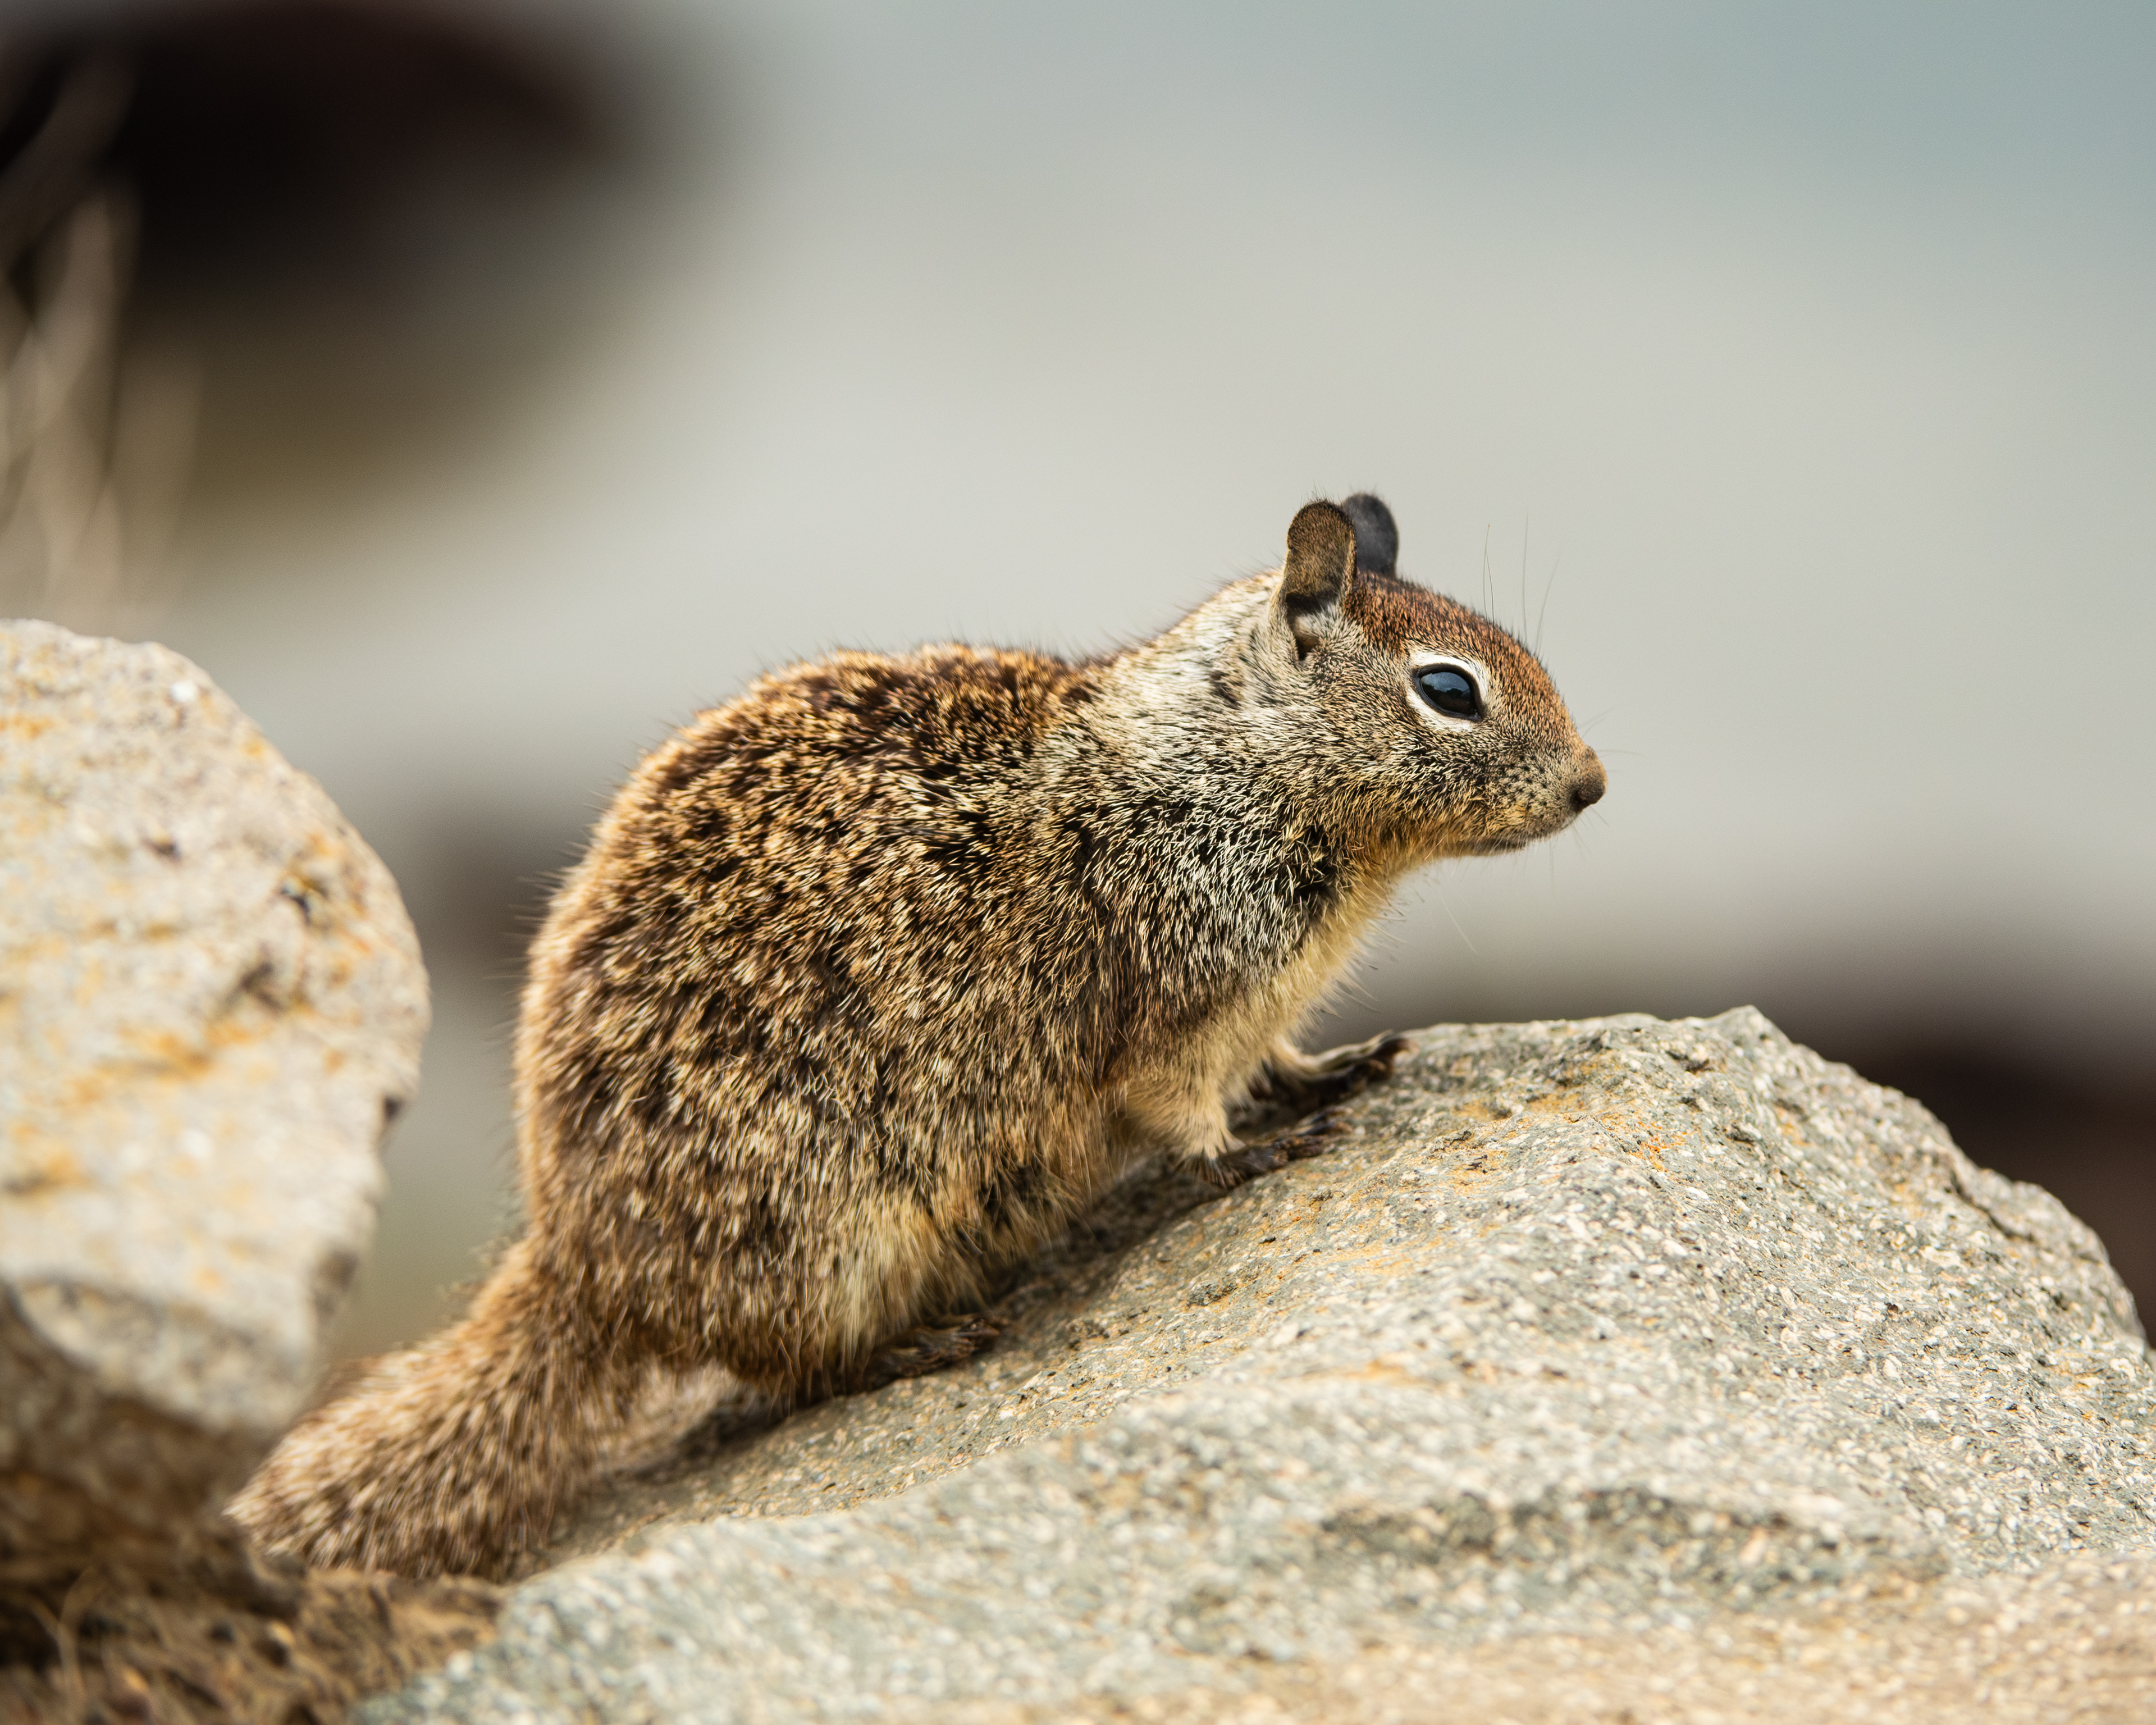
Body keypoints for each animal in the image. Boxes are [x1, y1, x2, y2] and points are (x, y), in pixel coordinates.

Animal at [230, 494, 1605, 1577]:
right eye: (1448, 689)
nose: (1595, 782)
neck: (1230, 764)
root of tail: (582, 1267)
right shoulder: (1173, 1004)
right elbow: (1183, 1113)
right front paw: (1244, 1154)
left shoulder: (1256, 1009)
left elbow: (1277, 1062)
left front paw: (1337, 1070)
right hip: (830, 1232)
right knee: (789, 1374)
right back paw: (923, 1343)